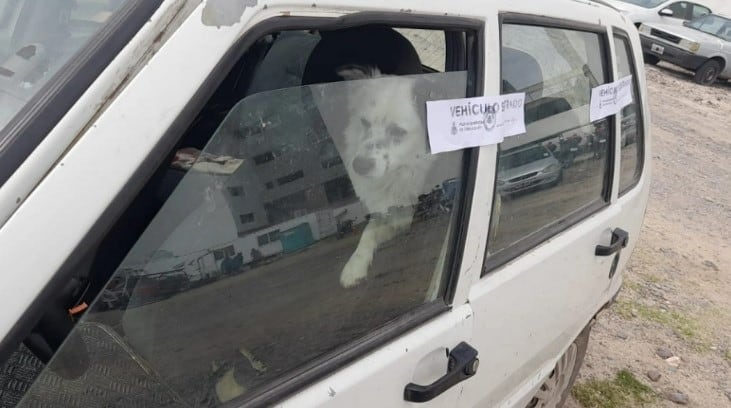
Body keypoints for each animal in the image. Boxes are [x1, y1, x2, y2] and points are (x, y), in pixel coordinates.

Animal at [334, 66, 438, 286]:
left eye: (398, 131)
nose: (359, 166)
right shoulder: (392, 212)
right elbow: (368, 231)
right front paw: (355, 265)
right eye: (364, 122)